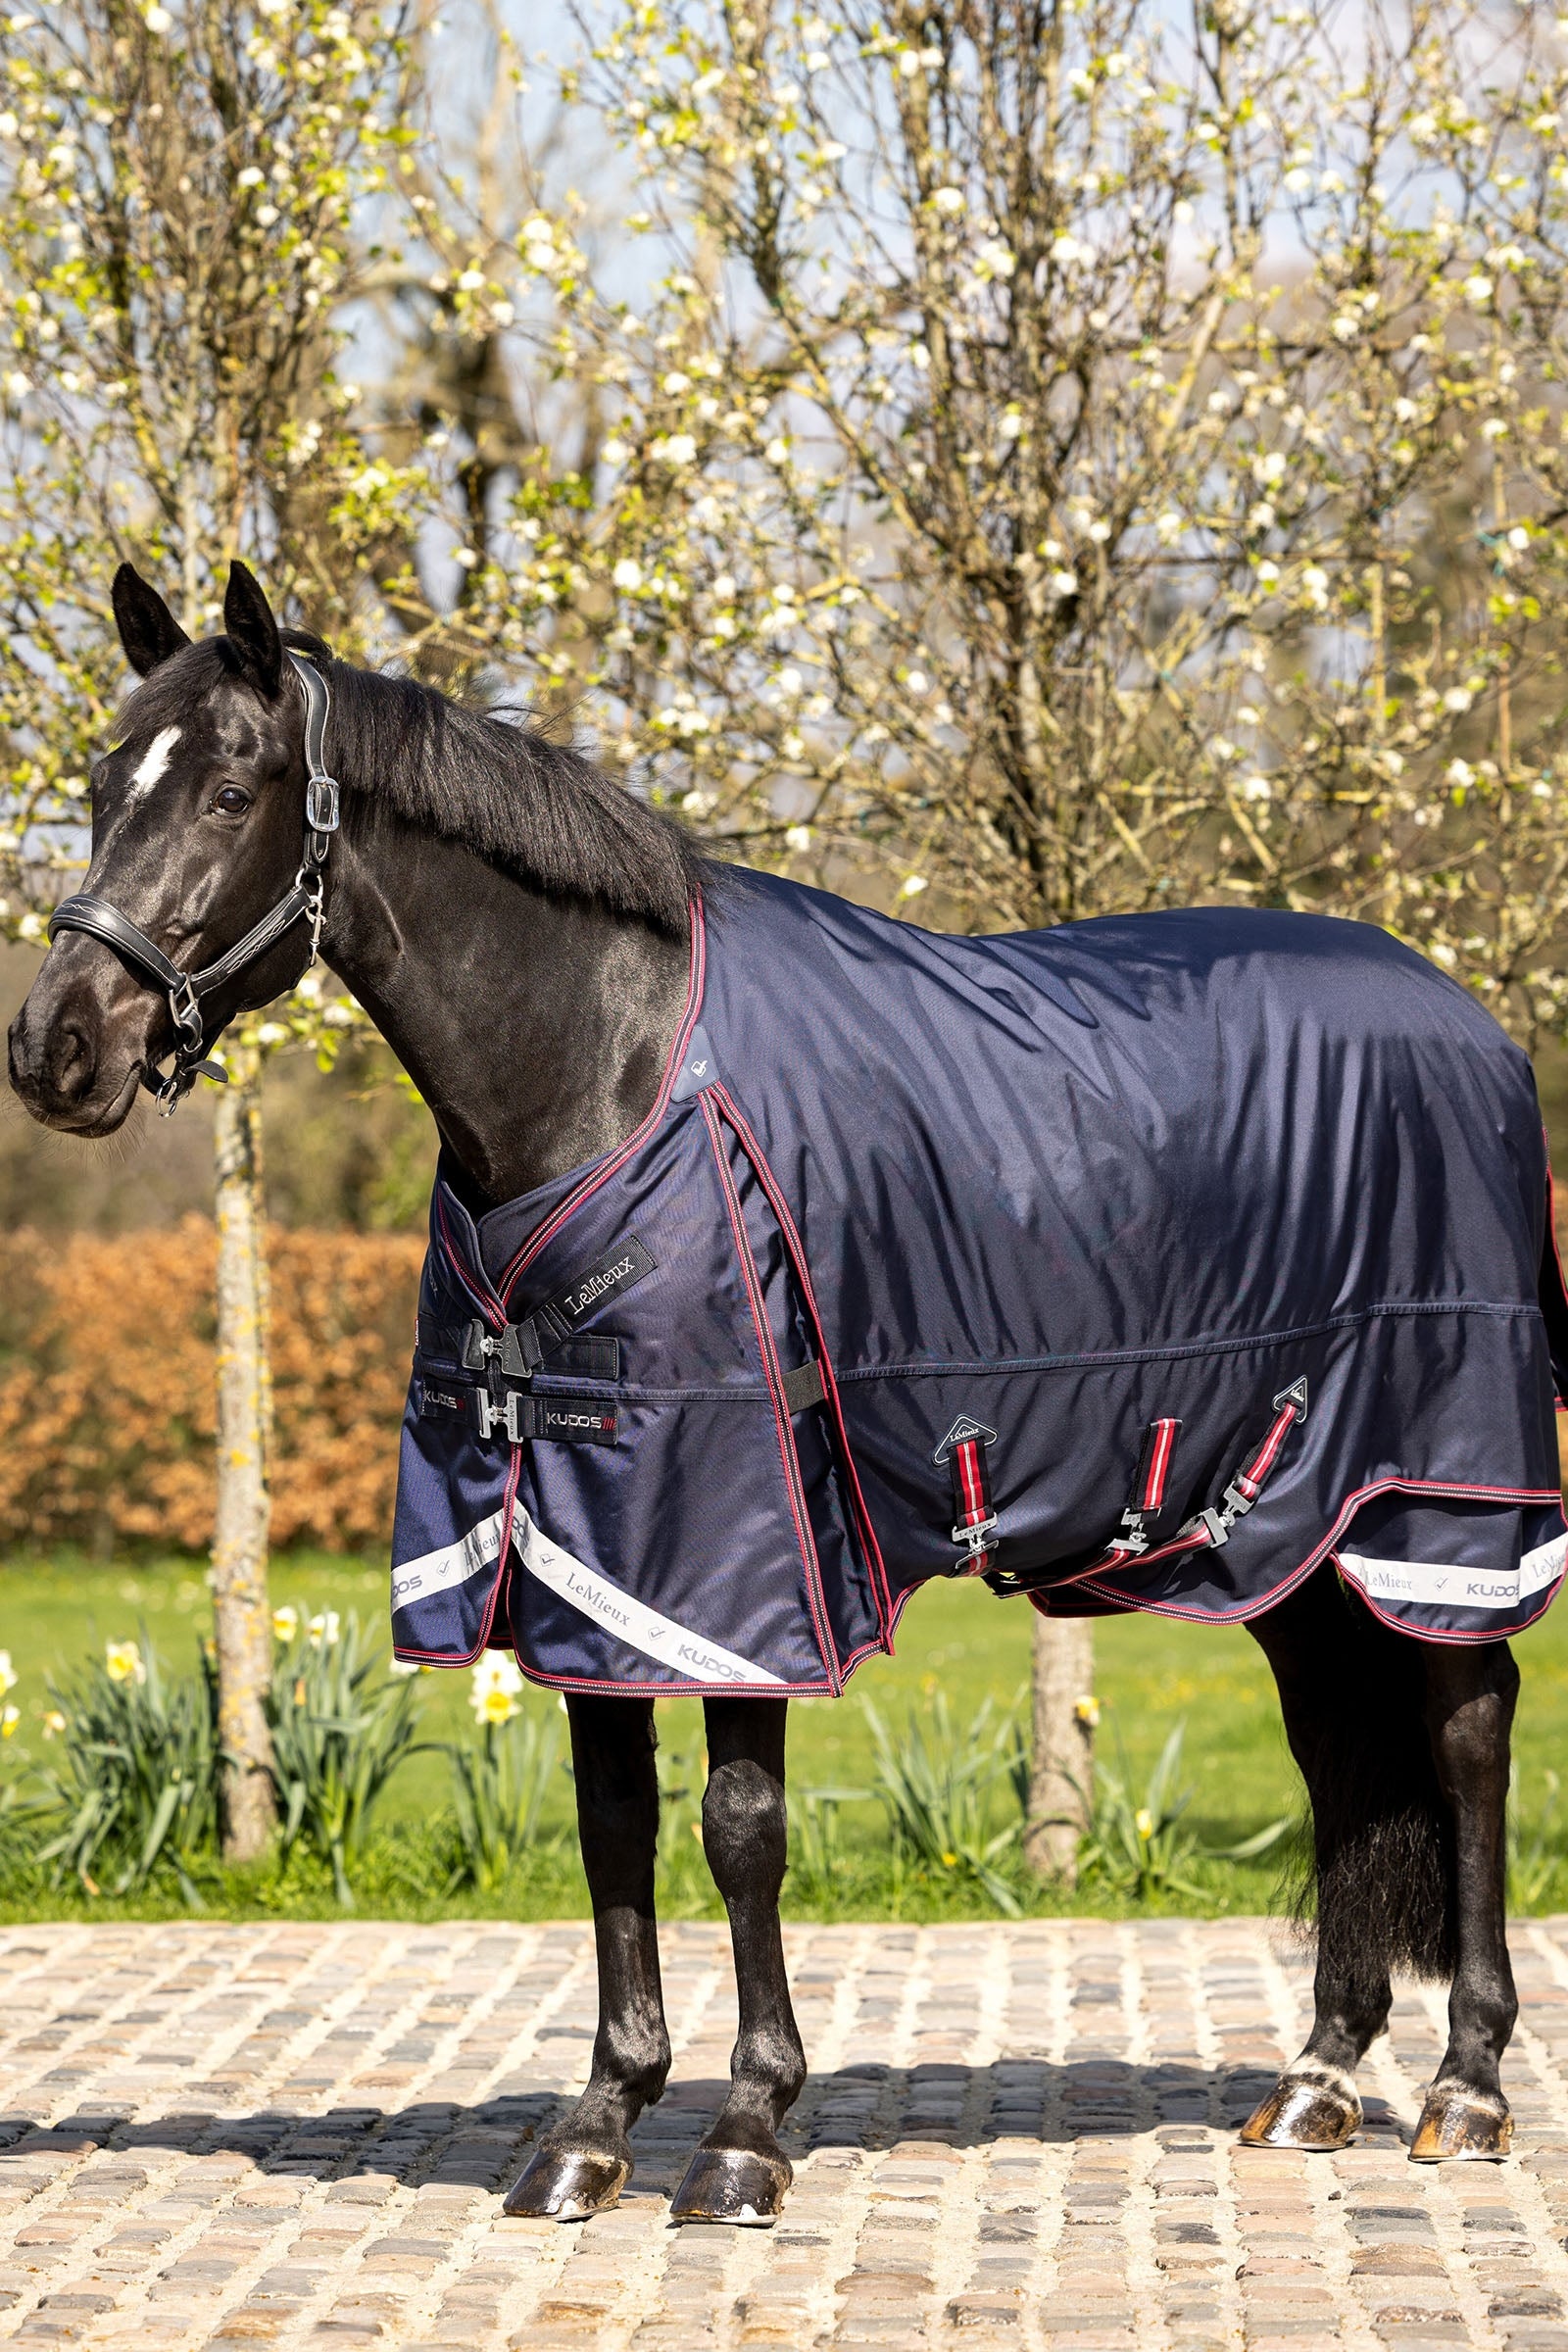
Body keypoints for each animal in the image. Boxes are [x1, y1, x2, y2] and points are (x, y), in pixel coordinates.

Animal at [10, 559, 1568, 2225]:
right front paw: (597, 2124)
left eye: (232, 790)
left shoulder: (733, 1542)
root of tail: (1472, 1024)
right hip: (1283, 1524)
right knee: (1341, 1749)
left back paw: (1468, 2088)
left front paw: (747, 2132)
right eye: (100, 781)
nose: (55, 1048)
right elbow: (611, 1825)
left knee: (1468, 1731)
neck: (609, 1069)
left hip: (1436, 1497)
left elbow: (737, 1830)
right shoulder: (583, 1544)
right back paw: (1319, 2079)